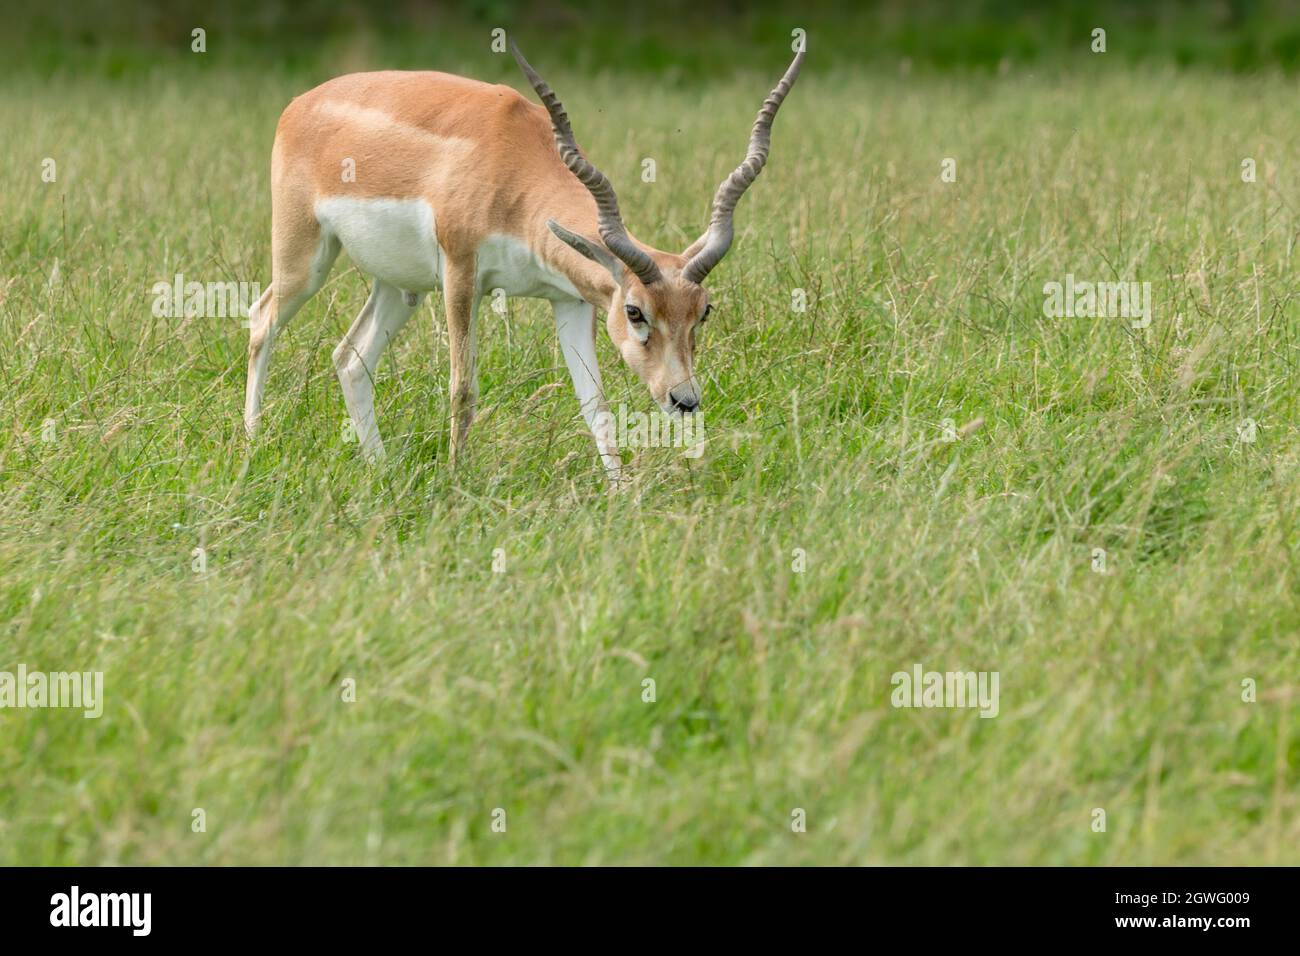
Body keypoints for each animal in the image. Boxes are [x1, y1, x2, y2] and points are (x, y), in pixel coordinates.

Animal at [243, 42, 800, 478]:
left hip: (400, 286)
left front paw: (622, 496)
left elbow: (595, 404)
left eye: (703, 312)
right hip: (305, 258)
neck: (513, 164)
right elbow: (462, 388)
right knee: (261, 318)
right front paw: (455, 479)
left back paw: (380, 469)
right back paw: (251, 445)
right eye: (636, 311)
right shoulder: (462, 274)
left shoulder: (571, 301)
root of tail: (299, 104)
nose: (684, 401)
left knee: (349, 357)